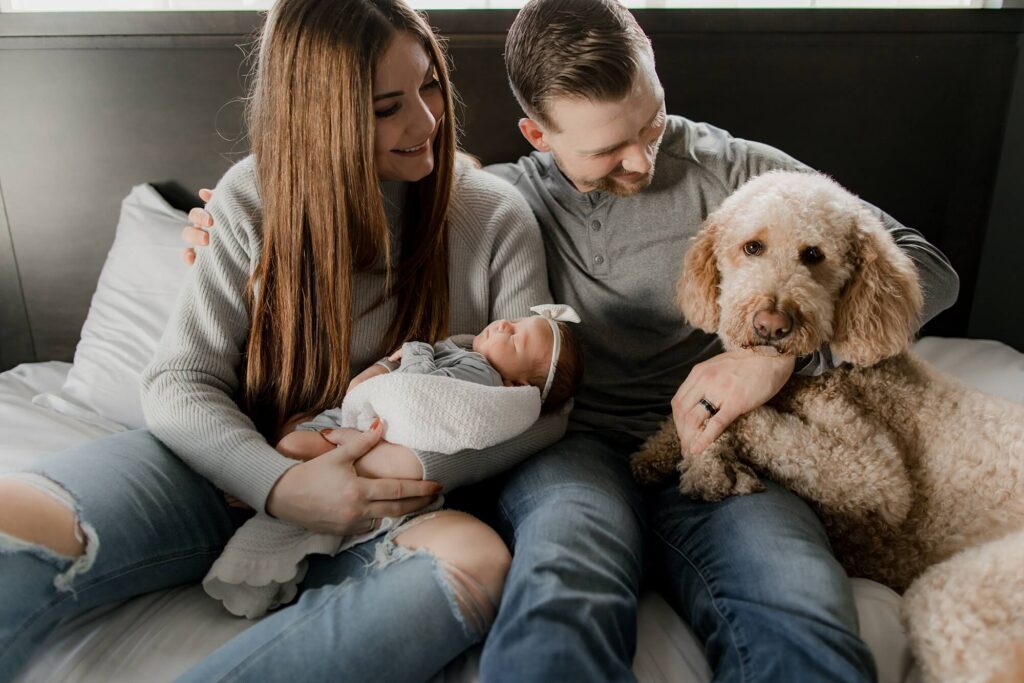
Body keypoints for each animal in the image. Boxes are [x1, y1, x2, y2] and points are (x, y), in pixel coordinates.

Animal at [630, 169, 1024, 683]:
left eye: (814, 255)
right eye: (752, 247)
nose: (772, 324)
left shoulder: (873, 474)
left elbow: (750, 421)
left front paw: (707, 464)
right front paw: (656, 454)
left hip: (957, 595)